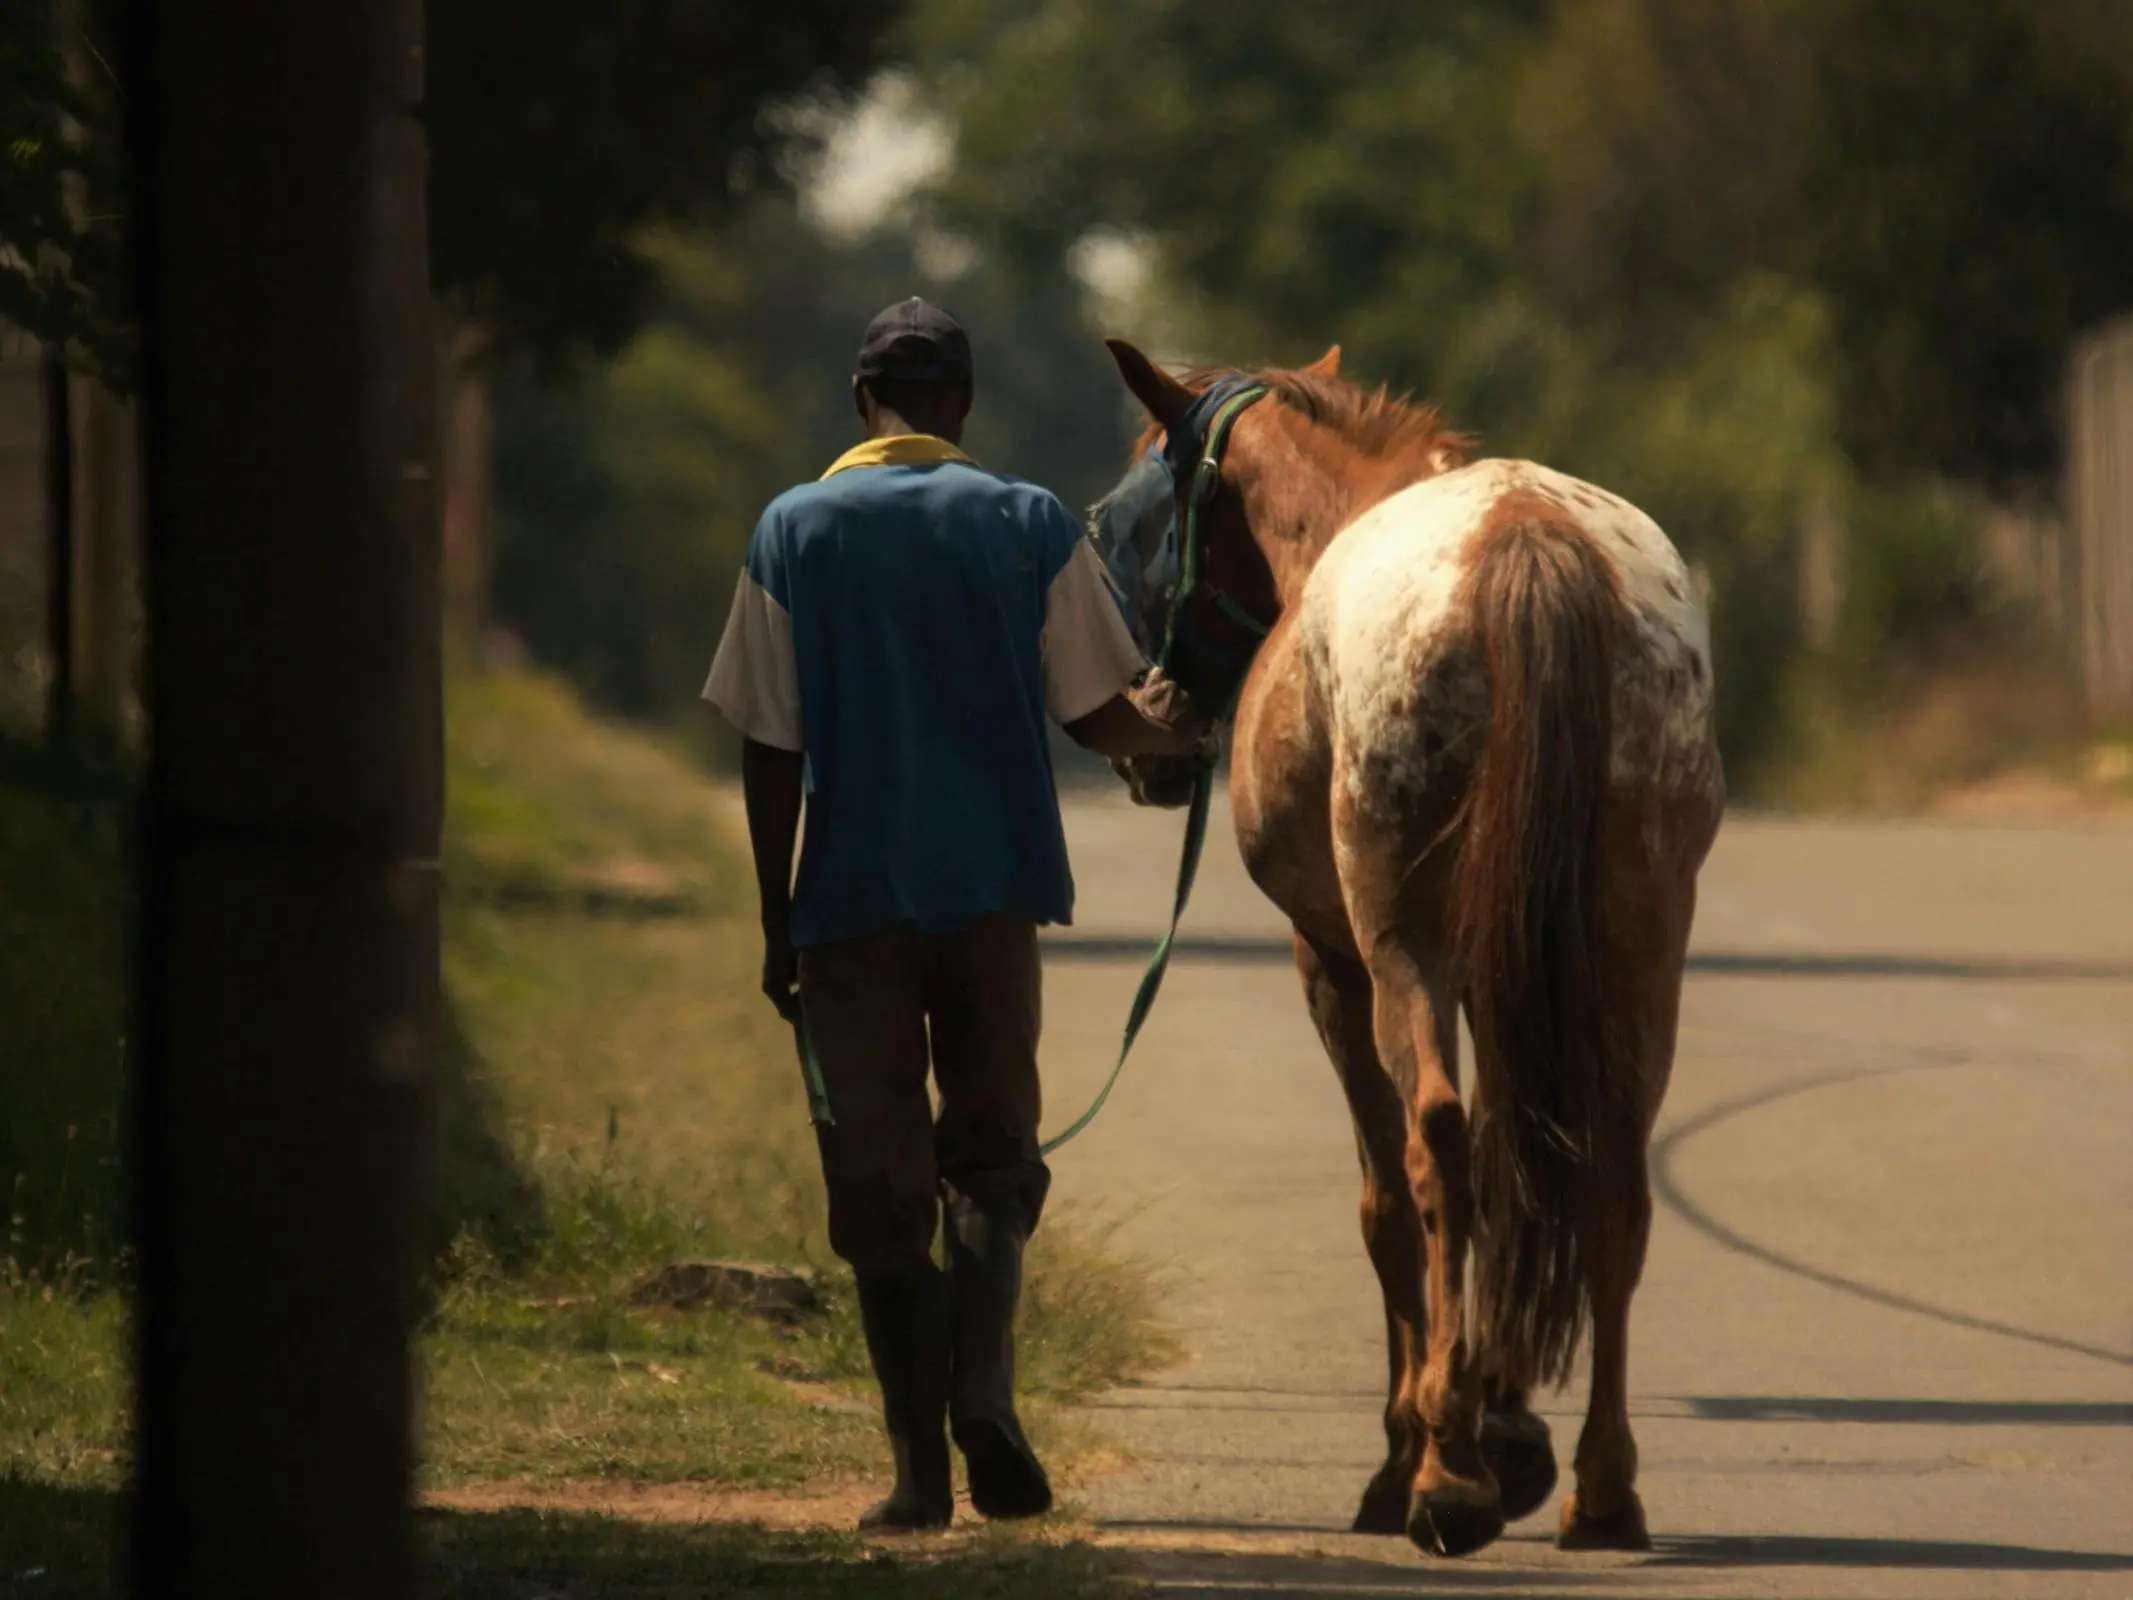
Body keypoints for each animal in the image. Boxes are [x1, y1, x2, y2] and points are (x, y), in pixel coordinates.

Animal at [1092, 341, 1723, 1570]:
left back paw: (1445, 1479)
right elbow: (1514, 1152)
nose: (1148, 730)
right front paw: (1506, 1417)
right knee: (1607, 1173)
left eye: (1143, 508)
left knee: (1433, 1148)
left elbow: (1390, 1196)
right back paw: (1598, 1490)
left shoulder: (1335, 963)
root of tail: (1527, 542)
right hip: (1635, 946)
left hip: (1403, 948)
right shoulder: (1504, 966)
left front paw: (1421, 1447)